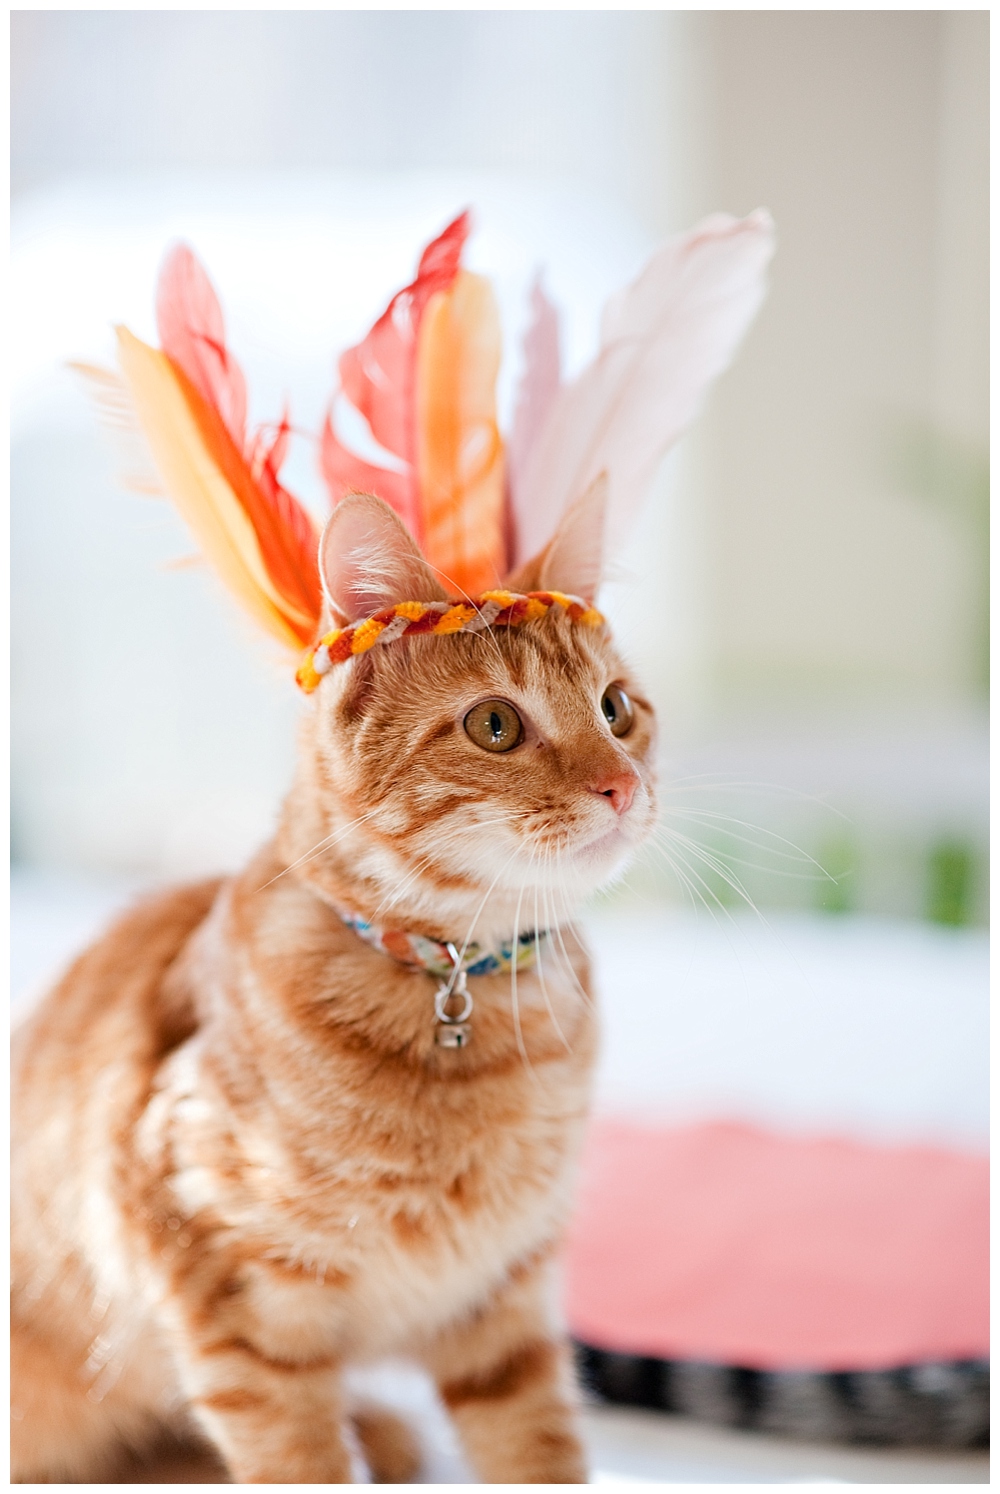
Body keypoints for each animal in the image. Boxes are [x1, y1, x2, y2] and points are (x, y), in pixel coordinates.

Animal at [11, 490, 657, 1482]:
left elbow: (536, 1448)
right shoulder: (237, 1308)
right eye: (496, 726)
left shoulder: (501, 1303)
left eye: (616, 709)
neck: (464, 994)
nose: (622, 785)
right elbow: (300, 1460)